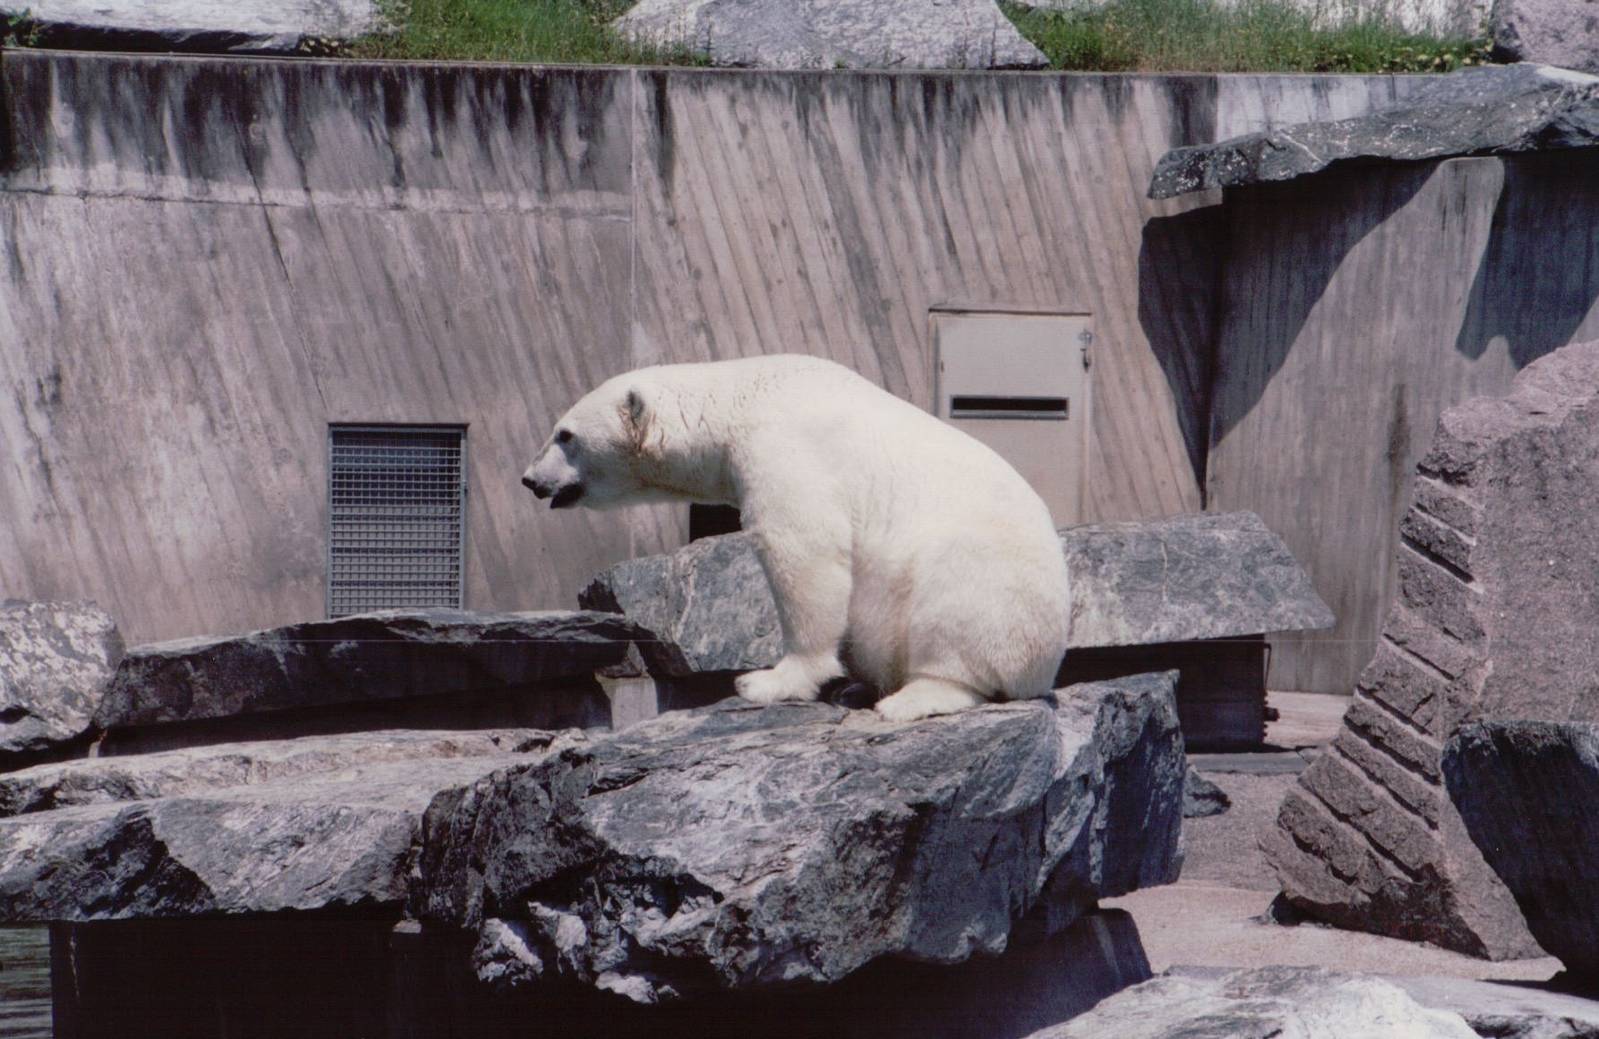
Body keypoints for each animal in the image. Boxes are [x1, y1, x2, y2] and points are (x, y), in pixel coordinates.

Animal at [523, 354, 1070, 722]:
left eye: (565, 435)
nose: (530, 479)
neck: (741, 398)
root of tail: (1044, 667)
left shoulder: (785, 448)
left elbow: (804, 551)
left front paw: (765, 682)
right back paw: (856, 689)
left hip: (989, 584)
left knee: (952, 620)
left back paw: (910, 698)